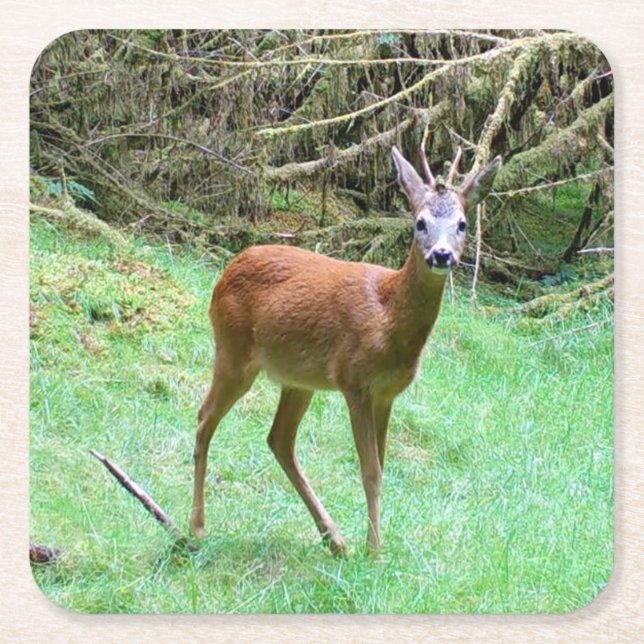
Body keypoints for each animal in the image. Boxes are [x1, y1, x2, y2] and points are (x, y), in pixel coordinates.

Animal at [190, 143, 501, 555]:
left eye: (462, 224)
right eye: (420, 222)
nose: (441, 255)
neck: (388, 319)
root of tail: (226, 271)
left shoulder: (386, 394)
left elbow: (381, 465)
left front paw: (370, 545)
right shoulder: (354, 381)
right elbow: (370, 470)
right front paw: (376, 551)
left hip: (298, 380)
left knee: (279, 439)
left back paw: (334, 538)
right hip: (233, 351)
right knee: (205, 418)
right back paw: (196, 528)